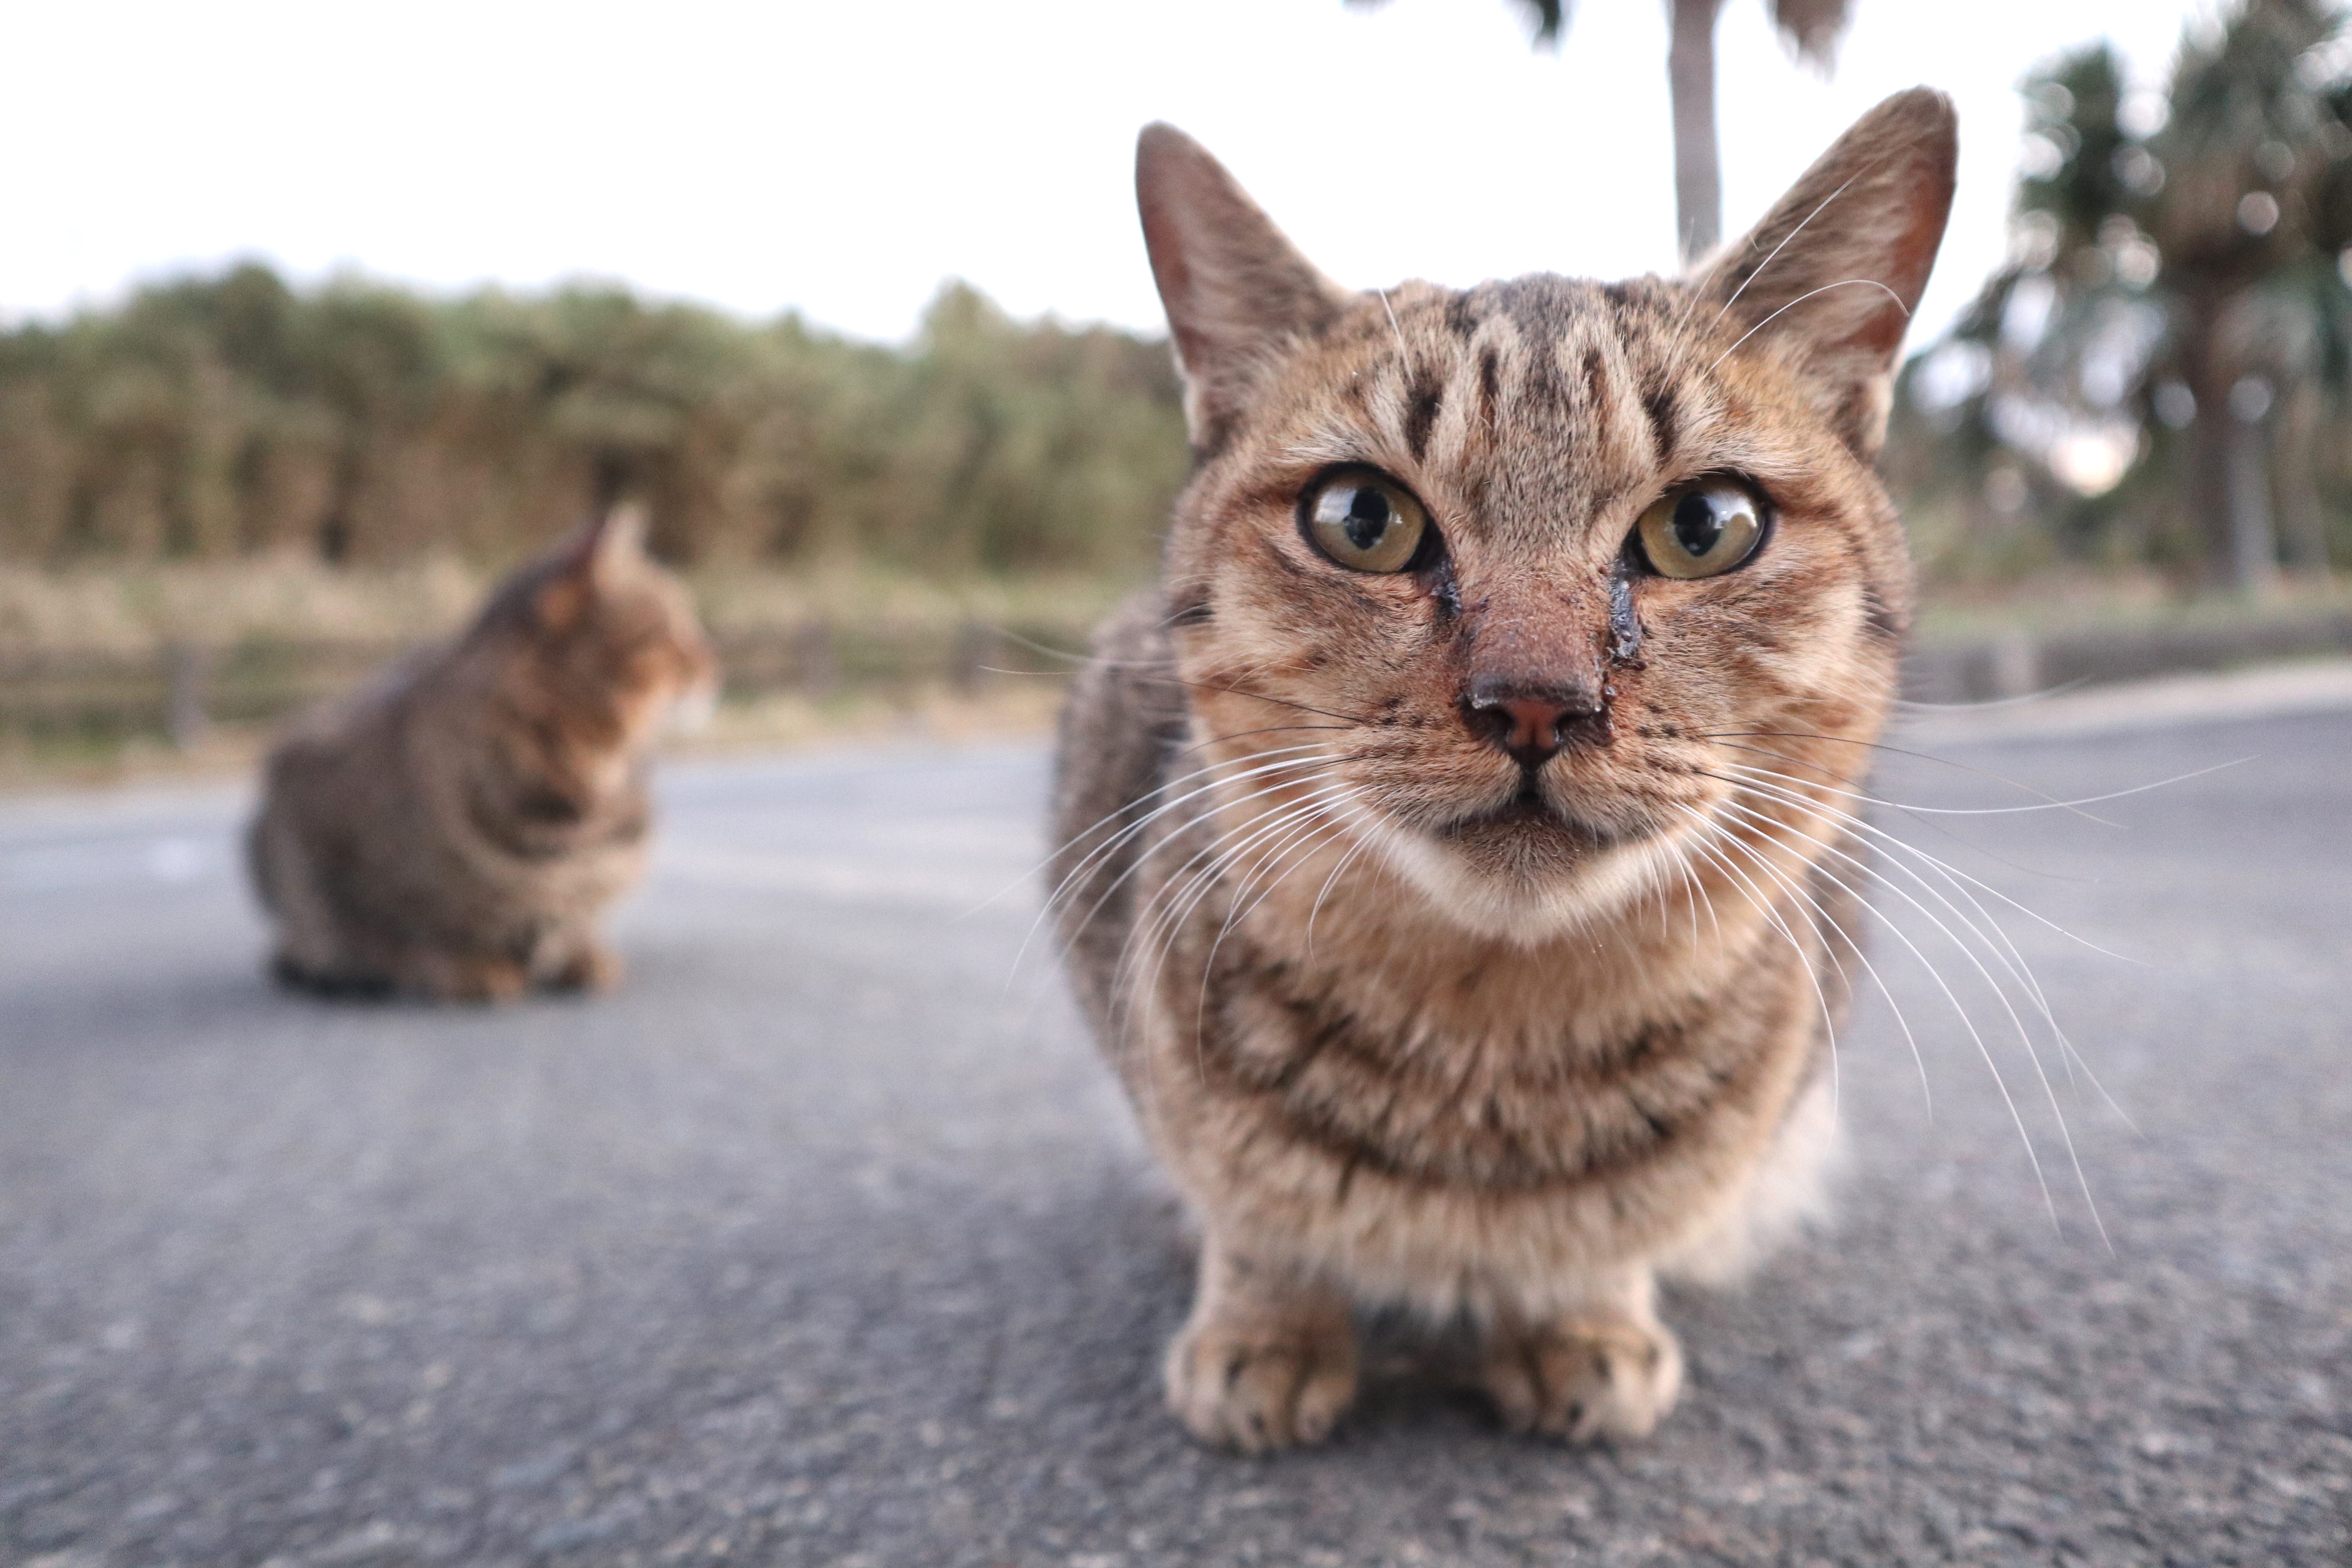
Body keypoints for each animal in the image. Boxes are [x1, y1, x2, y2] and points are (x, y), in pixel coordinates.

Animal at [248, 515, 710, 1006]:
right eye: (670, 629)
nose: (714, 660)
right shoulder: (328, 840)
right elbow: (405, 930)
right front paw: (467, 966)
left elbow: (574, 920)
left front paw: (577, 954)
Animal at [1058, 92, 1956, 1457]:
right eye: (1358, 518)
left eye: (1705, 528)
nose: (1535, 700)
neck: (1492, 1048)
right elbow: (1252, 1215)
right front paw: (1265, 1328)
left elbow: (1606, 1249)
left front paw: (1582, 1321)